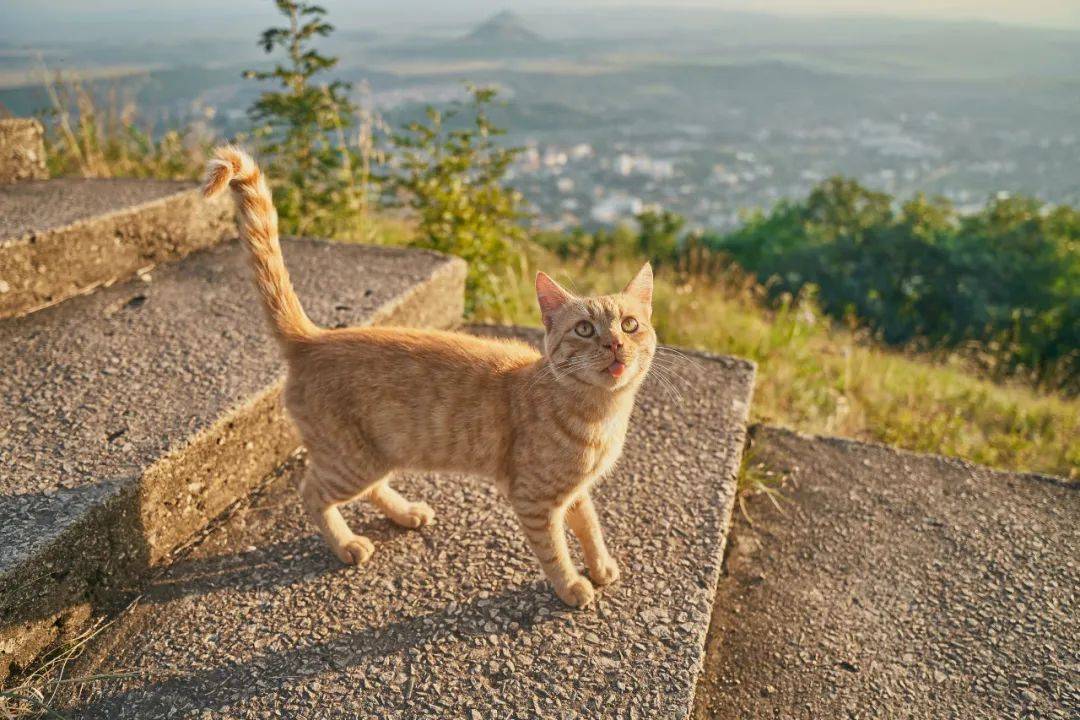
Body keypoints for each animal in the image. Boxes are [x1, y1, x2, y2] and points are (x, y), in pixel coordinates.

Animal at [204, 146, 656, 608]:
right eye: (584, 329)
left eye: (630, 325)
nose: (614, 344)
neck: (602, 416)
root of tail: (313, 337)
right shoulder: (534, 499)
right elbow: (554, 549)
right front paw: (571, 586)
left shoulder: (575, 491)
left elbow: (589, 526)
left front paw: (600, 566)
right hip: (351, 460)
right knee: (312, 492)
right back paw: (346, 542)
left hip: (374, 453)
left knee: (369, 487)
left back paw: (405, 512)